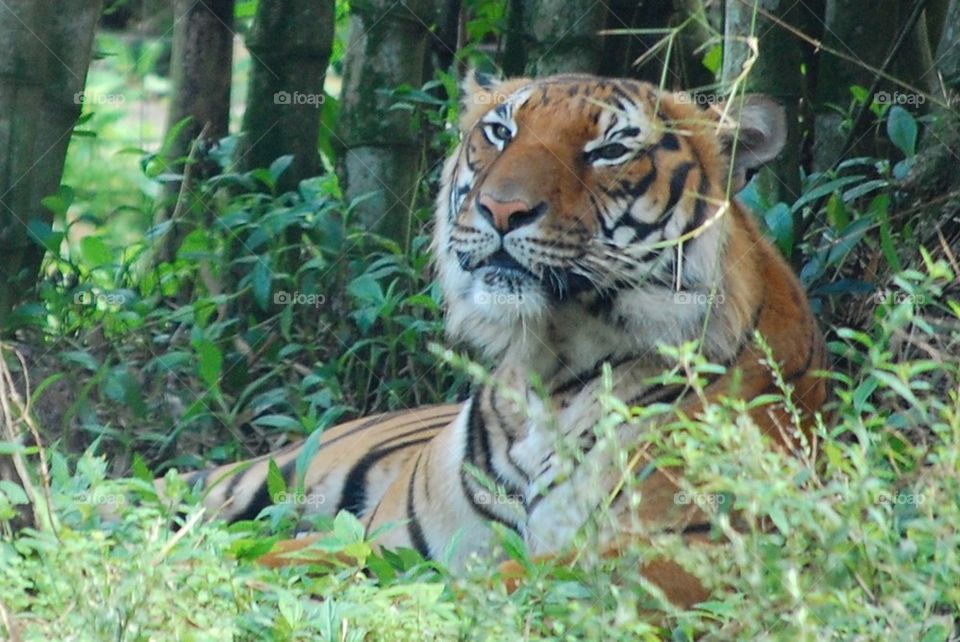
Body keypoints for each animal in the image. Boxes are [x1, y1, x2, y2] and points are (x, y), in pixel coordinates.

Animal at [165, 71, 827, 607]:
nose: (502, 210)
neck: (551, 370)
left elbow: (472, 586)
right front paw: (200, 573)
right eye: (501, 132)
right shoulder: (400, 538)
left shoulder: (684, 555)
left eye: (611, 150)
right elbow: (301, 555)